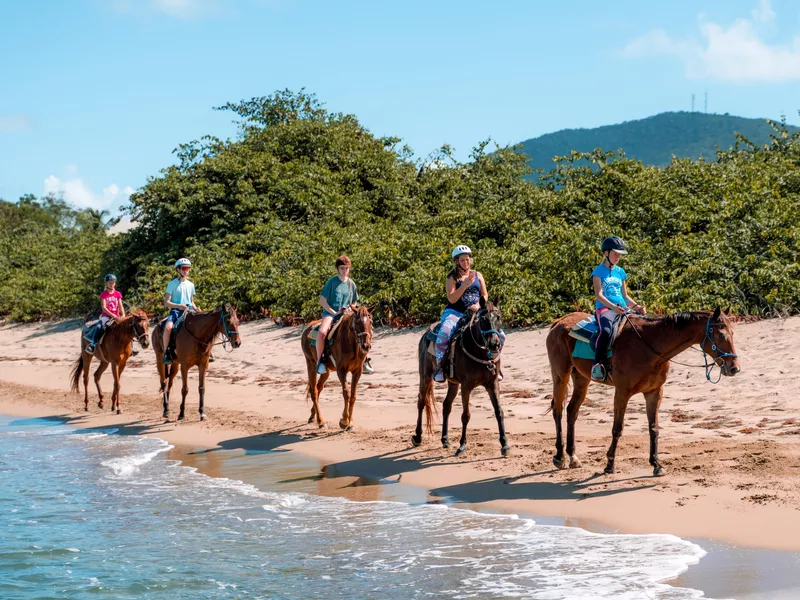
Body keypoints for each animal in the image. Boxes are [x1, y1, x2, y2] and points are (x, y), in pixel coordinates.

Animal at [410, 298, 510, 458]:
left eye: (499, 317)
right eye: (483, 319)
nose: (494, 344)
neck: (480, 352)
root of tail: (426, 333)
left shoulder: (492, 383)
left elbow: (499, 412)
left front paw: (505, 444)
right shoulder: (466, 386)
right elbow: (466, 415)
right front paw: (462, 445)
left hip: (453, 383)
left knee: (446, 405)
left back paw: (445, 439)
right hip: (425, 377)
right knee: (421, 402)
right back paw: (418, 437)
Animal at [548, 308, 740, 476]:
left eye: (733, 333)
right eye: (721, 335)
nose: (734, 368)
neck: (650, 346)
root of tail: (558, 322)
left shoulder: (654, 392)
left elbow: (653, 428)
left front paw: (657, 464)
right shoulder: (622, 392)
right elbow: (617, 429)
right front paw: (610, 464)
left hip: (581, 378)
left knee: (572, 411)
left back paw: (573, 457)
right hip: (560, 375)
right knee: (558, 410)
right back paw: (560, 457)